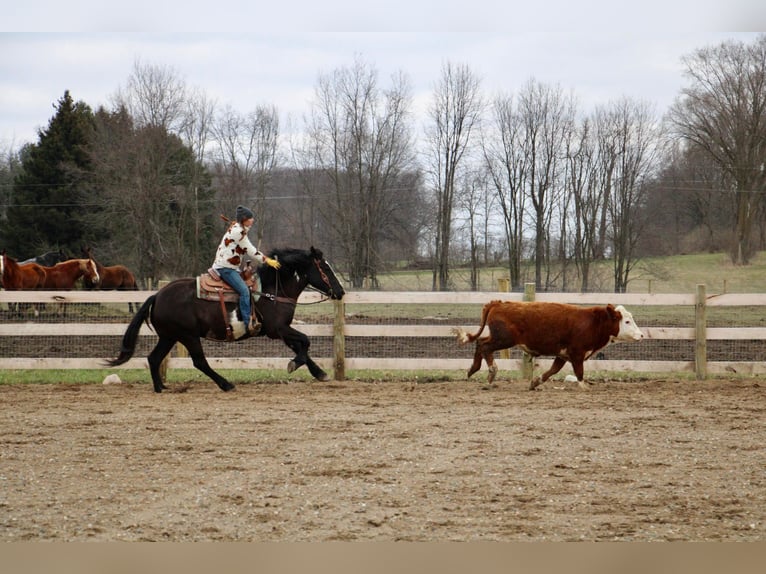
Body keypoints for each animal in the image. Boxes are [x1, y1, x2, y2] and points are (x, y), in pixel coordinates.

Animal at [106, 245, 346, 394]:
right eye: (325, 268)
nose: (341, 291)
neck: (272, 289)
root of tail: (157, 295)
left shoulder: (281, 330)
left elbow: (301, 347)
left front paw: (319, 372)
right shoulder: (277, 329)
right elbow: (305, 342)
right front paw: (294, 365)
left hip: (169, 336)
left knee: (154, 358)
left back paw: (160, 388)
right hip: (188, 336)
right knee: (199, 362)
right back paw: (226, 384)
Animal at [452, 302, 644, 392]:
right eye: (627, 321)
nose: (641, 335)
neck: (593, 322)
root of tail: (498, 303)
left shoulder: (563, 354)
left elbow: (553, 370)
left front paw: (535, 382)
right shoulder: (576, 353)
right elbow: (579, 372)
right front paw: (584, 386)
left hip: (499, 338)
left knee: (480, 342)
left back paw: (473, 369)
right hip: (503, 339)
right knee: (485, 346)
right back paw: (491, 373)